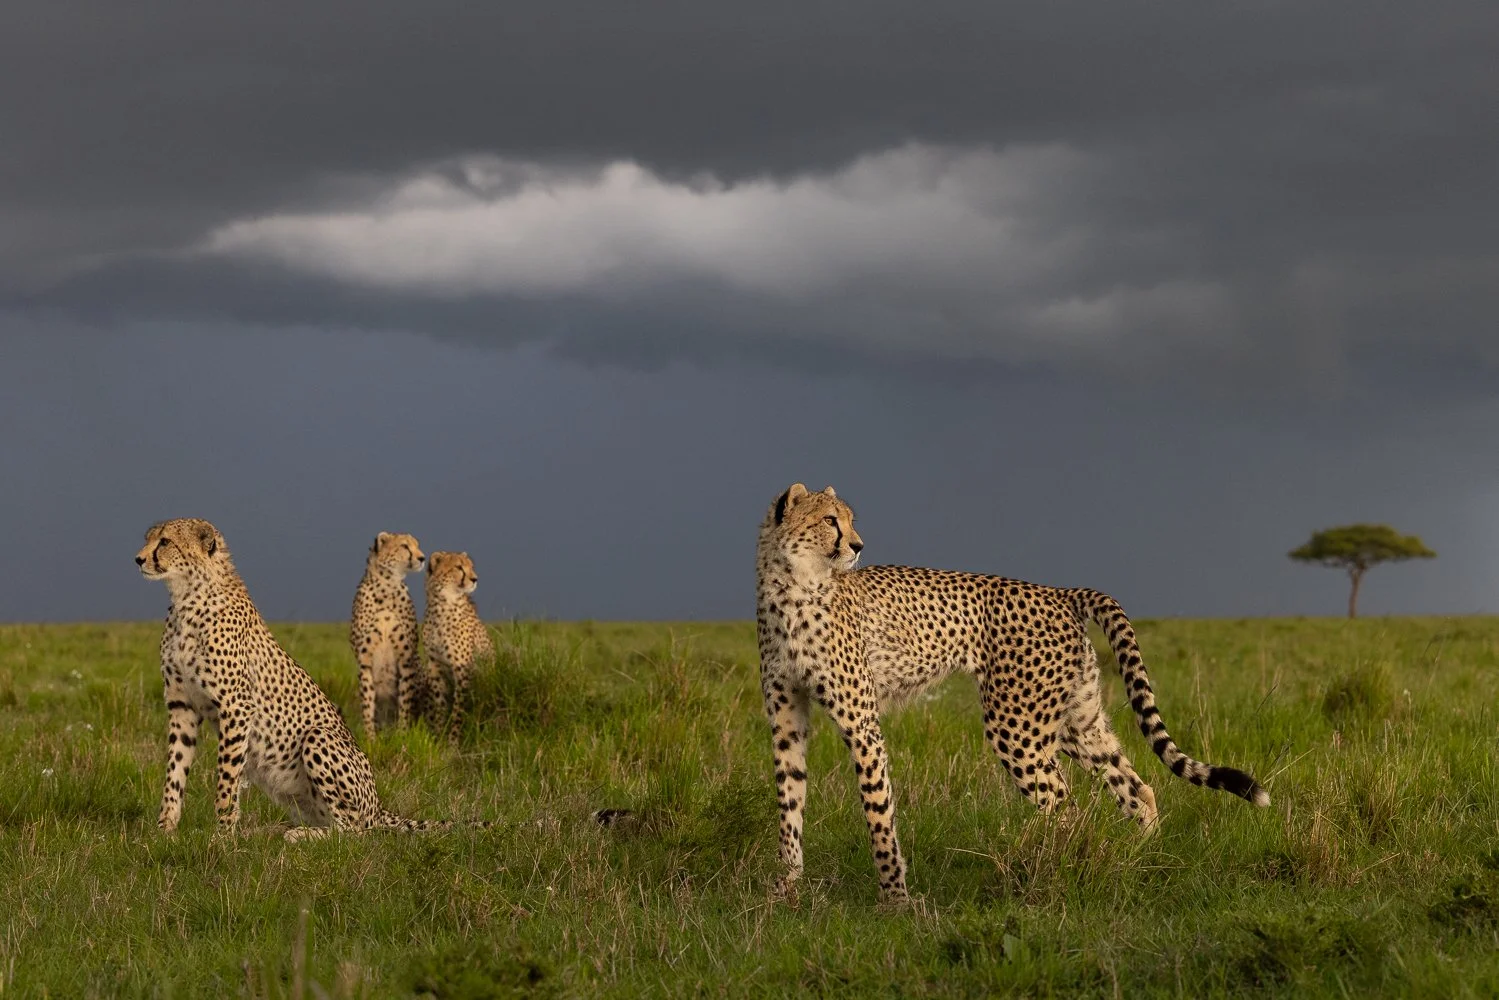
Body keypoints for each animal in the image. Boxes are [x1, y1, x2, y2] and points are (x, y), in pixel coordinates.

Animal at [350, 531, 426, 736]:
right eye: (405, 546)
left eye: (417, 545)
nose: (422, 558)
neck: (386, 587)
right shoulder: (364, 660)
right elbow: (367, 703)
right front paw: (370, 737)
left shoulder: (407, 659)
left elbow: (405, 701)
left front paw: (402, 735)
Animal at [422, 550, 495, 744]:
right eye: (459, 567)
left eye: (471, 567)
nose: (475, 579)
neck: (442, 604)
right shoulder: (435, 665)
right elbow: (439, 705)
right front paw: (438, 737)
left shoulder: (462, 669)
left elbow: (458, 710)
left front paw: (453, 742)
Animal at [755, 483, 1270, 902]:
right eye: (830, 520)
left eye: (848, 519)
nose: (858, 545)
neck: (792, 584)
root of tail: (1059, 591)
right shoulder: (787, 721)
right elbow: (790, 801)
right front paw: (786, 887)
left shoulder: (861, 723)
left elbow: (878, 810)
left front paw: (894, 898)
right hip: (1076, 723)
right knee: (1136, 789)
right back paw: (1139, 862)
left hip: (1016, 726)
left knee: (1064, 805)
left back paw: (1053, 875)